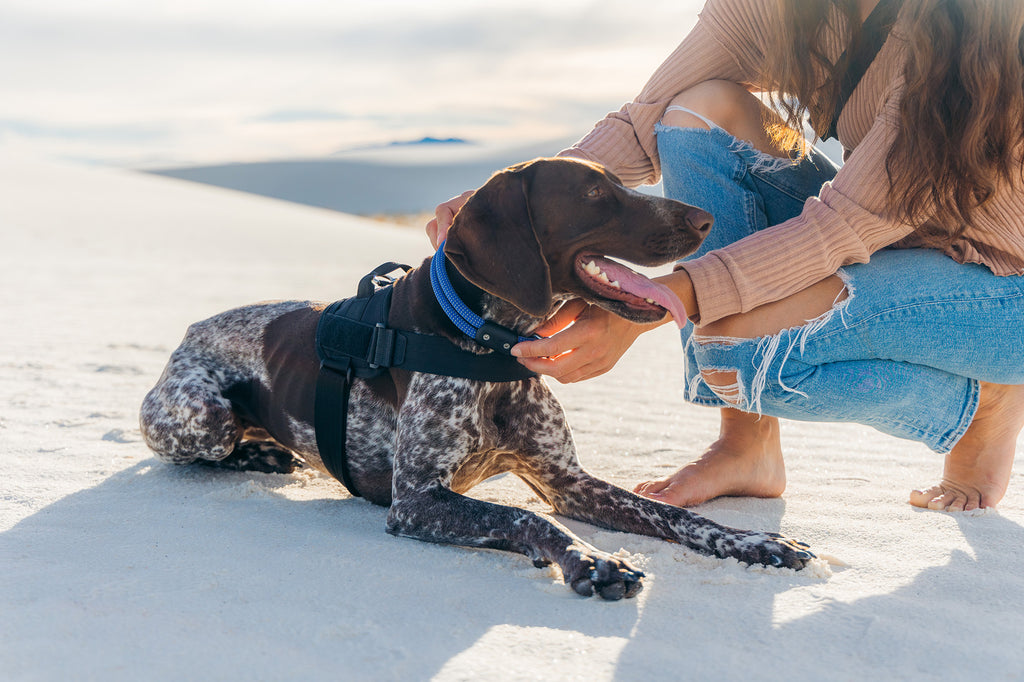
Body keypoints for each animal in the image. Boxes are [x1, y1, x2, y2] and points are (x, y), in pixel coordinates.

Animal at [140, 156, 811, 598]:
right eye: (595, 192)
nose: (704, 219)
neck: (488, 343)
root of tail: (191, 330)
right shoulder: (416, 501)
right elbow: (524, 518)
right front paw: (591, 560)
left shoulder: (566, 480)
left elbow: (674, 515)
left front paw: (758, 542)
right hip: (203, 418)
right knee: (206, 445)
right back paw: (260, 454)